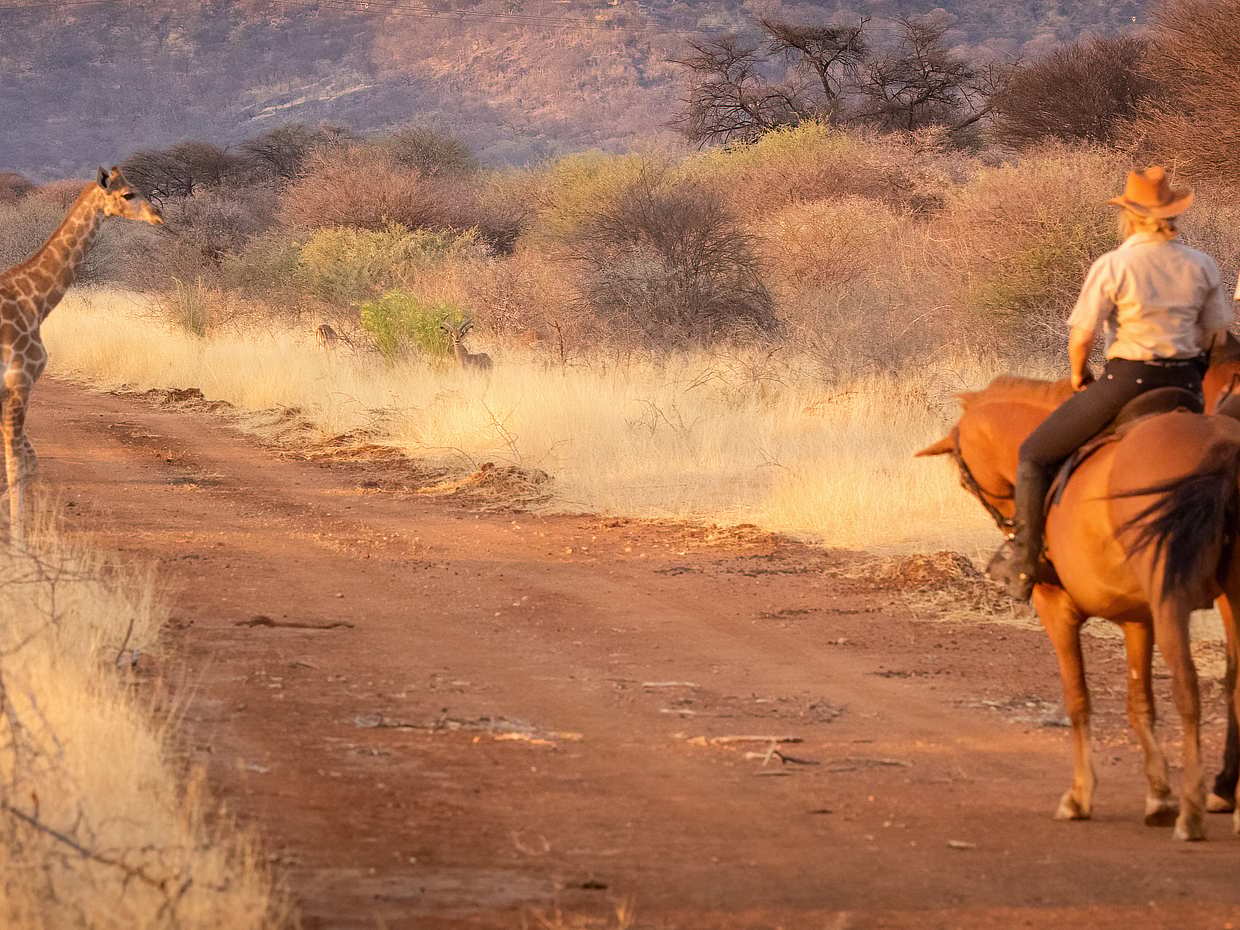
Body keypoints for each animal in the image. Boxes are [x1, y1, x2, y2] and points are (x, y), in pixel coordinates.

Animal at [918, 368, 1240, 840]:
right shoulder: (1137, 620)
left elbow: (1077, 699)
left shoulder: (1059, 612)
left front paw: (1080, 796)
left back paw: (1194, 813)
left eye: (964, 479)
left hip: (1173, 601)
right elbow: (1139, 702)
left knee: (1188, 688)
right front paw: (1158, 795)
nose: (1012, 527)